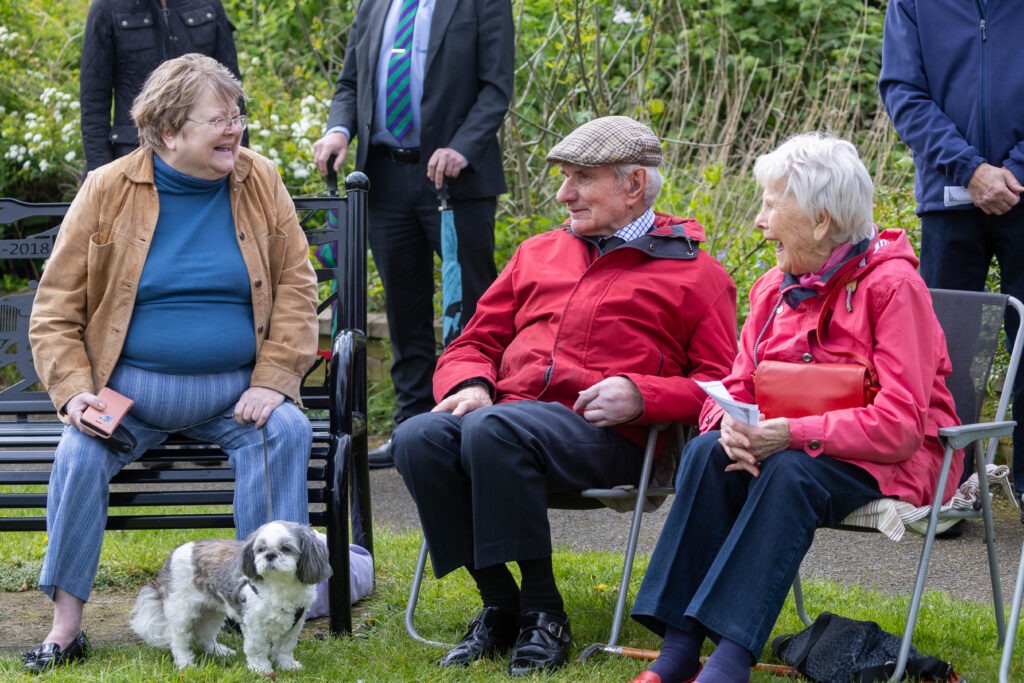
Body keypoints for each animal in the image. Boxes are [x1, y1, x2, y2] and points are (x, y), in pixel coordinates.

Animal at [129, 524, 331, 671]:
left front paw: (288, 666)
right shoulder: (254, 624)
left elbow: (284, 648)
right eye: (260, 549)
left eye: (286, 548)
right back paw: (185, 663)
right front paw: (262, 669)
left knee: (204, 634)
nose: (270, 555)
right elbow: (257, 648)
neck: (280, 586)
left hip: (211, 610)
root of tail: (175, 551)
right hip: (181, 612)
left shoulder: (294, 624)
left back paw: (218, 652)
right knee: (179, 640)